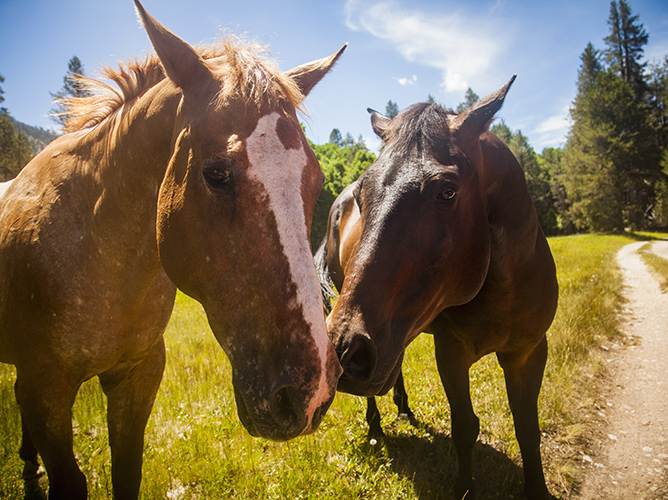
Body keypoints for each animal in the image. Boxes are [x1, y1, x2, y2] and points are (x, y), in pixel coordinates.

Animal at [0, 1, 344, 498]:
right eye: (216, 174)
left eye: (315, 181)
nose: (310, 391)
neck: (99, 258)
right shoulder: (46, 388)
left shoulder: (138, 377)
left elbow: (127, 472)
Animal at [316, 76, 560, 498]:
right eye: (362, 194)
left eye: (448, 190)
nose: (344, 351)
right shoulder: (451, 352)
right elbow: (465, 427)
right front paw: (464, 487)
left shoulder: (529, 351)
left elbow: (528, 430)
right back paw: (377, 426)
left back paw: (403, 407)